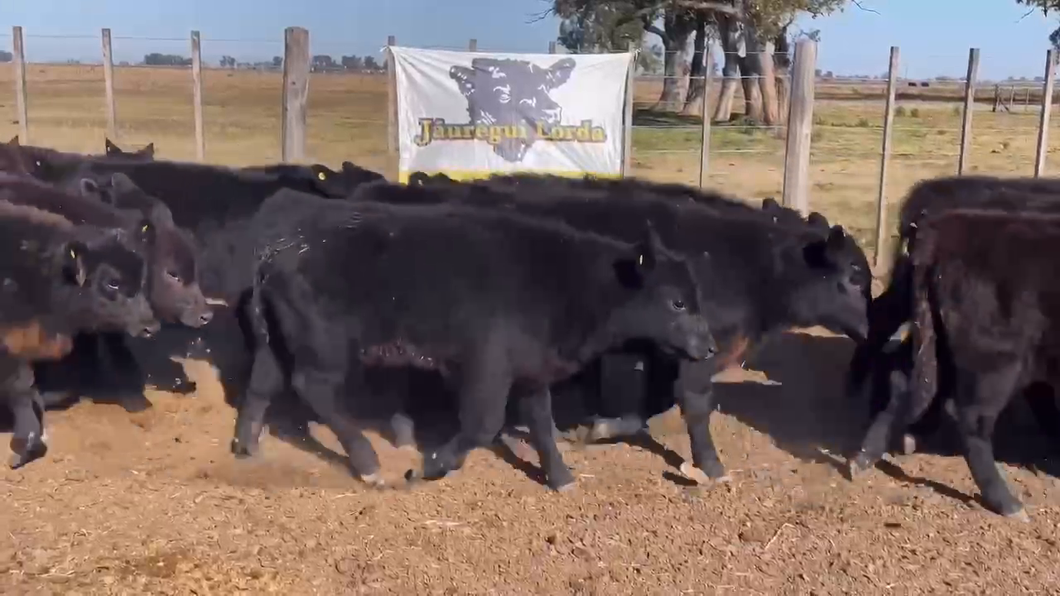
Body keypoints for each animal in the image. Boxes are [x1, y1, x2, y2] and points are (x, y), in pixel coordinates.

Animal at [231, 187, 712, 489]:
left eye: (694, 296)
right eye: (676, 303)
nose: (708, 347)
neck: (563, 278)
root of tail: (279, 248)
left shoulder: (532, 371)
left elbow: (541, 424)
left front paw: (561, 478)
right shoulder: (487, 367)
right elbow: (483, 425)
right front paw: (431, 466)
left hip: (277, 342)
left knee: (262, 384)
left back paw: (247, 445)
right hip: (327, 345)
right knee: (313, 388)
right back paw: (368, 464)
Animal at [343, 172, 873, 477]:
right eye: (853, 275)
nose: (872, 329)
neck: (744, 266)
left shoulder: (670, 350)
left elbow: (654, 404)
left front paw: (600, 427)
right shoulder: (697, 354)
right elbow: (694, 406)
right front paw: (711, 465)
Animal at [847, 206, 1060, 517]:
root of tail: (939, 231)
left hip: (940, 348)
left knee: (903, 379)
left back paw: (864, 458)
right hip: (996, 365)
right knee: (973, 422)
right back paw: (1007, 503)